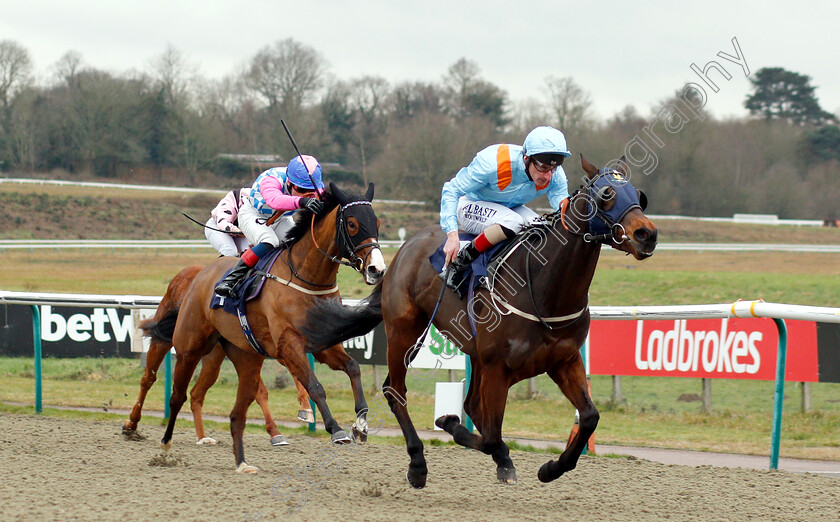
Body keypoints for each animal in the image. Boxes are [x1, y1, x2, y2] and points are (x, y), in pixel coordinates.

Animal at [125, 266, 318, 444]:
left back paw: (202, 437)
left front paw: (305, 408)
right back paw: (131, 423)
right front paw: (277, 429)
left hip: (212, 358)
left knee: (196, 393)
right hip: (167, 338)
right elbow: (262, 391)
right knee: (148, 378)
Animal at [149, 183, 386, 472]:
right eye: (352, 224)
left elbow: (352, 367)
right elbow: (314, 385)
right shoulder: (288, 345)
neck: (305, 276)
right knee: (177, 396)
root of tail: (201, 274)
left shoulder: (322, 345)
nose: (377, 269)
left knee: (230, 402)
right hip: (189, 347)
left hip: (242, 354)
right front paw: (335, 429)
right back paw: (165, 444)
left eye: (376, 222)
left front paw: (361, 424)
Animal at [306, 155, 660, 488]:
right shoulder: (498, 367)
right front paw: (449, 424)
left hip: (473, 352)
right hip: (405, 331)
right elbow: (489, 435)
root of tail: (403, 250)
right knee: (396, 391)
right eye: (606, 194)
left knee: (472, 404)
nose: (647, 234)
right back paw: (418, 464)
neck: (543, 286)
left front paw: (551, 468)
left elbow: (588, 417)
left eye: (639, 195)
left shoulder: (564, 359)